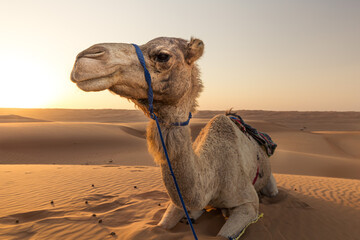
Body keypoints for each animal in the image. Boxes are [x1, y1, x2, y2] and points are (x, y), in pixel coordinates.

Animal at [71, 36, 278, 239]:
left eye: (162, 56)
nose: (84, 57)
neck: (211, 179)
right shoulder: (179, 204)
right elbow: (162, 226)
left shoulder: (248, 203)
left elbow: (225, 232)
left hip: (269, 183)